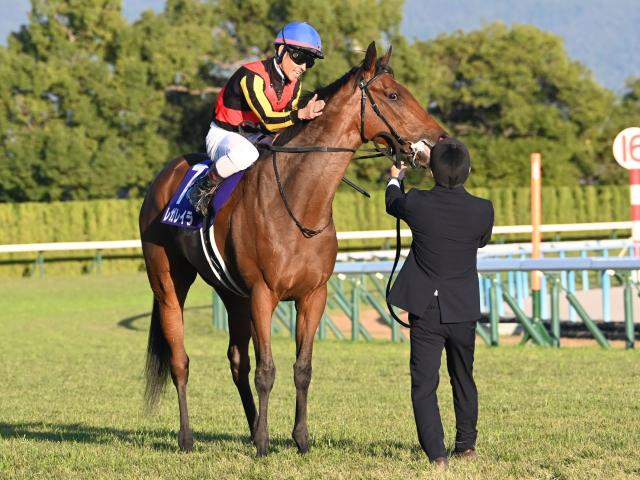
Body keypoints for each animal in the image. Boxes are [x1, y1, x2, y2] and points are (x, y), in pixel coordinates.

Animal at [139, 41, 447, 456]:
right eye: (393, 94)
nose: (439, 141)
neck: (300, 202)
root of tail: (163, 177)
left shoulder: (312, 295)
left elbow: (302, 368)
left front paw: (299, 439)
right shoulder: (262, 294)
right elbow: (267, 370)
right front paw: (264, 445)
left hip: (232, 295)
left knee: (237, 362)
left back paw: (252, 426)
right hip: (169, 284)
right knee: (180, 360)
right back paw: (188, 438)